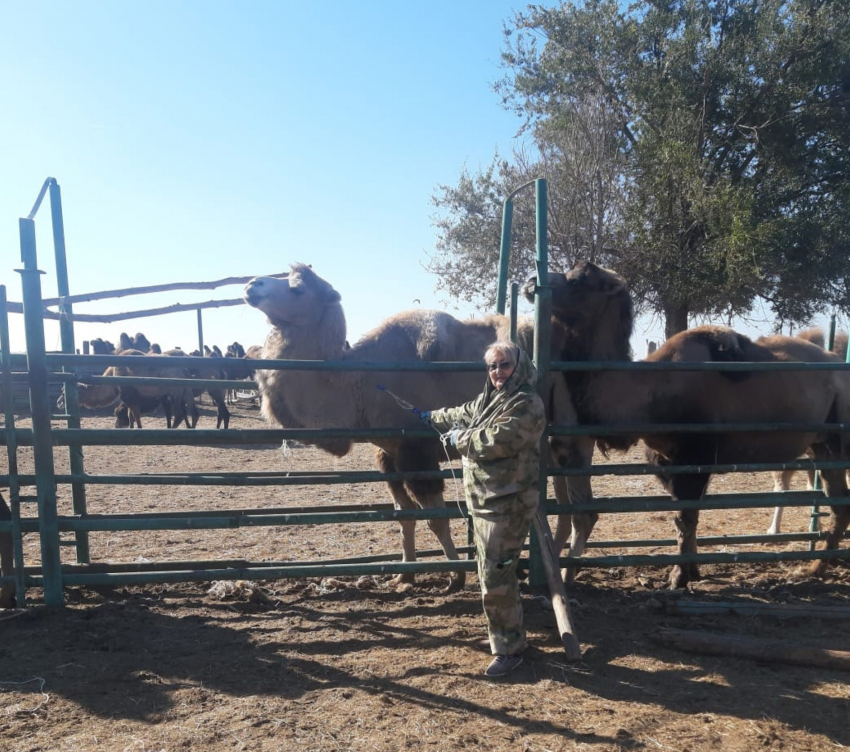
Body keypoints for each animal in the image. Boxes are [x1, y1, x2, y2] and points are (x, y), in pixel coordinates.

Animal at [242, 262, 556, 592]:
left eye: (297, 288)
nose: (252, 284)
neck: (360, 383)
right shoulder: (389, 456)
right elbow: (404, 516)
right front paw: (404, 575)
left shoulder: (417, 453)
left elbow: (436, 518)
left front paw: (455, 576)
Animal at [520, 262, 848, 592]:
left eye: (578, 280)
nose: (530, 282)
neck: (649, 391)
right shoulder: (666, 460)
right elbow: (689, 517)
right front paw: (692, 571)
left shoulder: (694, 456)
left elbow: (685, 517)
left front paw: (678, 577)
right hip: (821, 444)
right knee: (838, 500)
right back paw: (816, 566)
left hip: (837, 440)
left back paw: (814, 567)